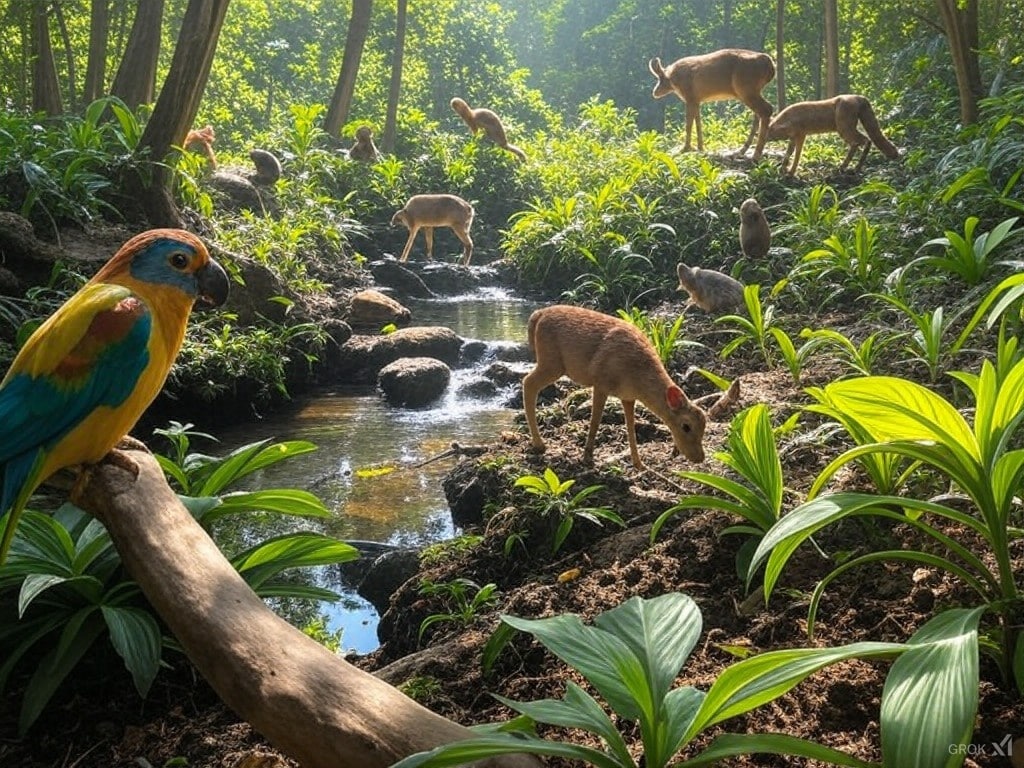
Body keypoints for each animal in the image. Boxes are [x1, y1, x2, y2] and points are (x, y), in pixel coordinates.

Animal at [524, 305, 716, 473]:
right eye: (686, 426)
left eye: (704, 426)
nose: (699, 457)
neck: (637, 377)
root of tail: (538, 315)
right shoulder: (601, 382)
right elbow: (595, 421)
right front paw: (587, 458)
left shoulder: (628, 397)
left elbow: (630, 427)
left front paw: (639, 464)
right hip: (551, 361)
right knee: (528, 382)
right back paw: (539, 445)